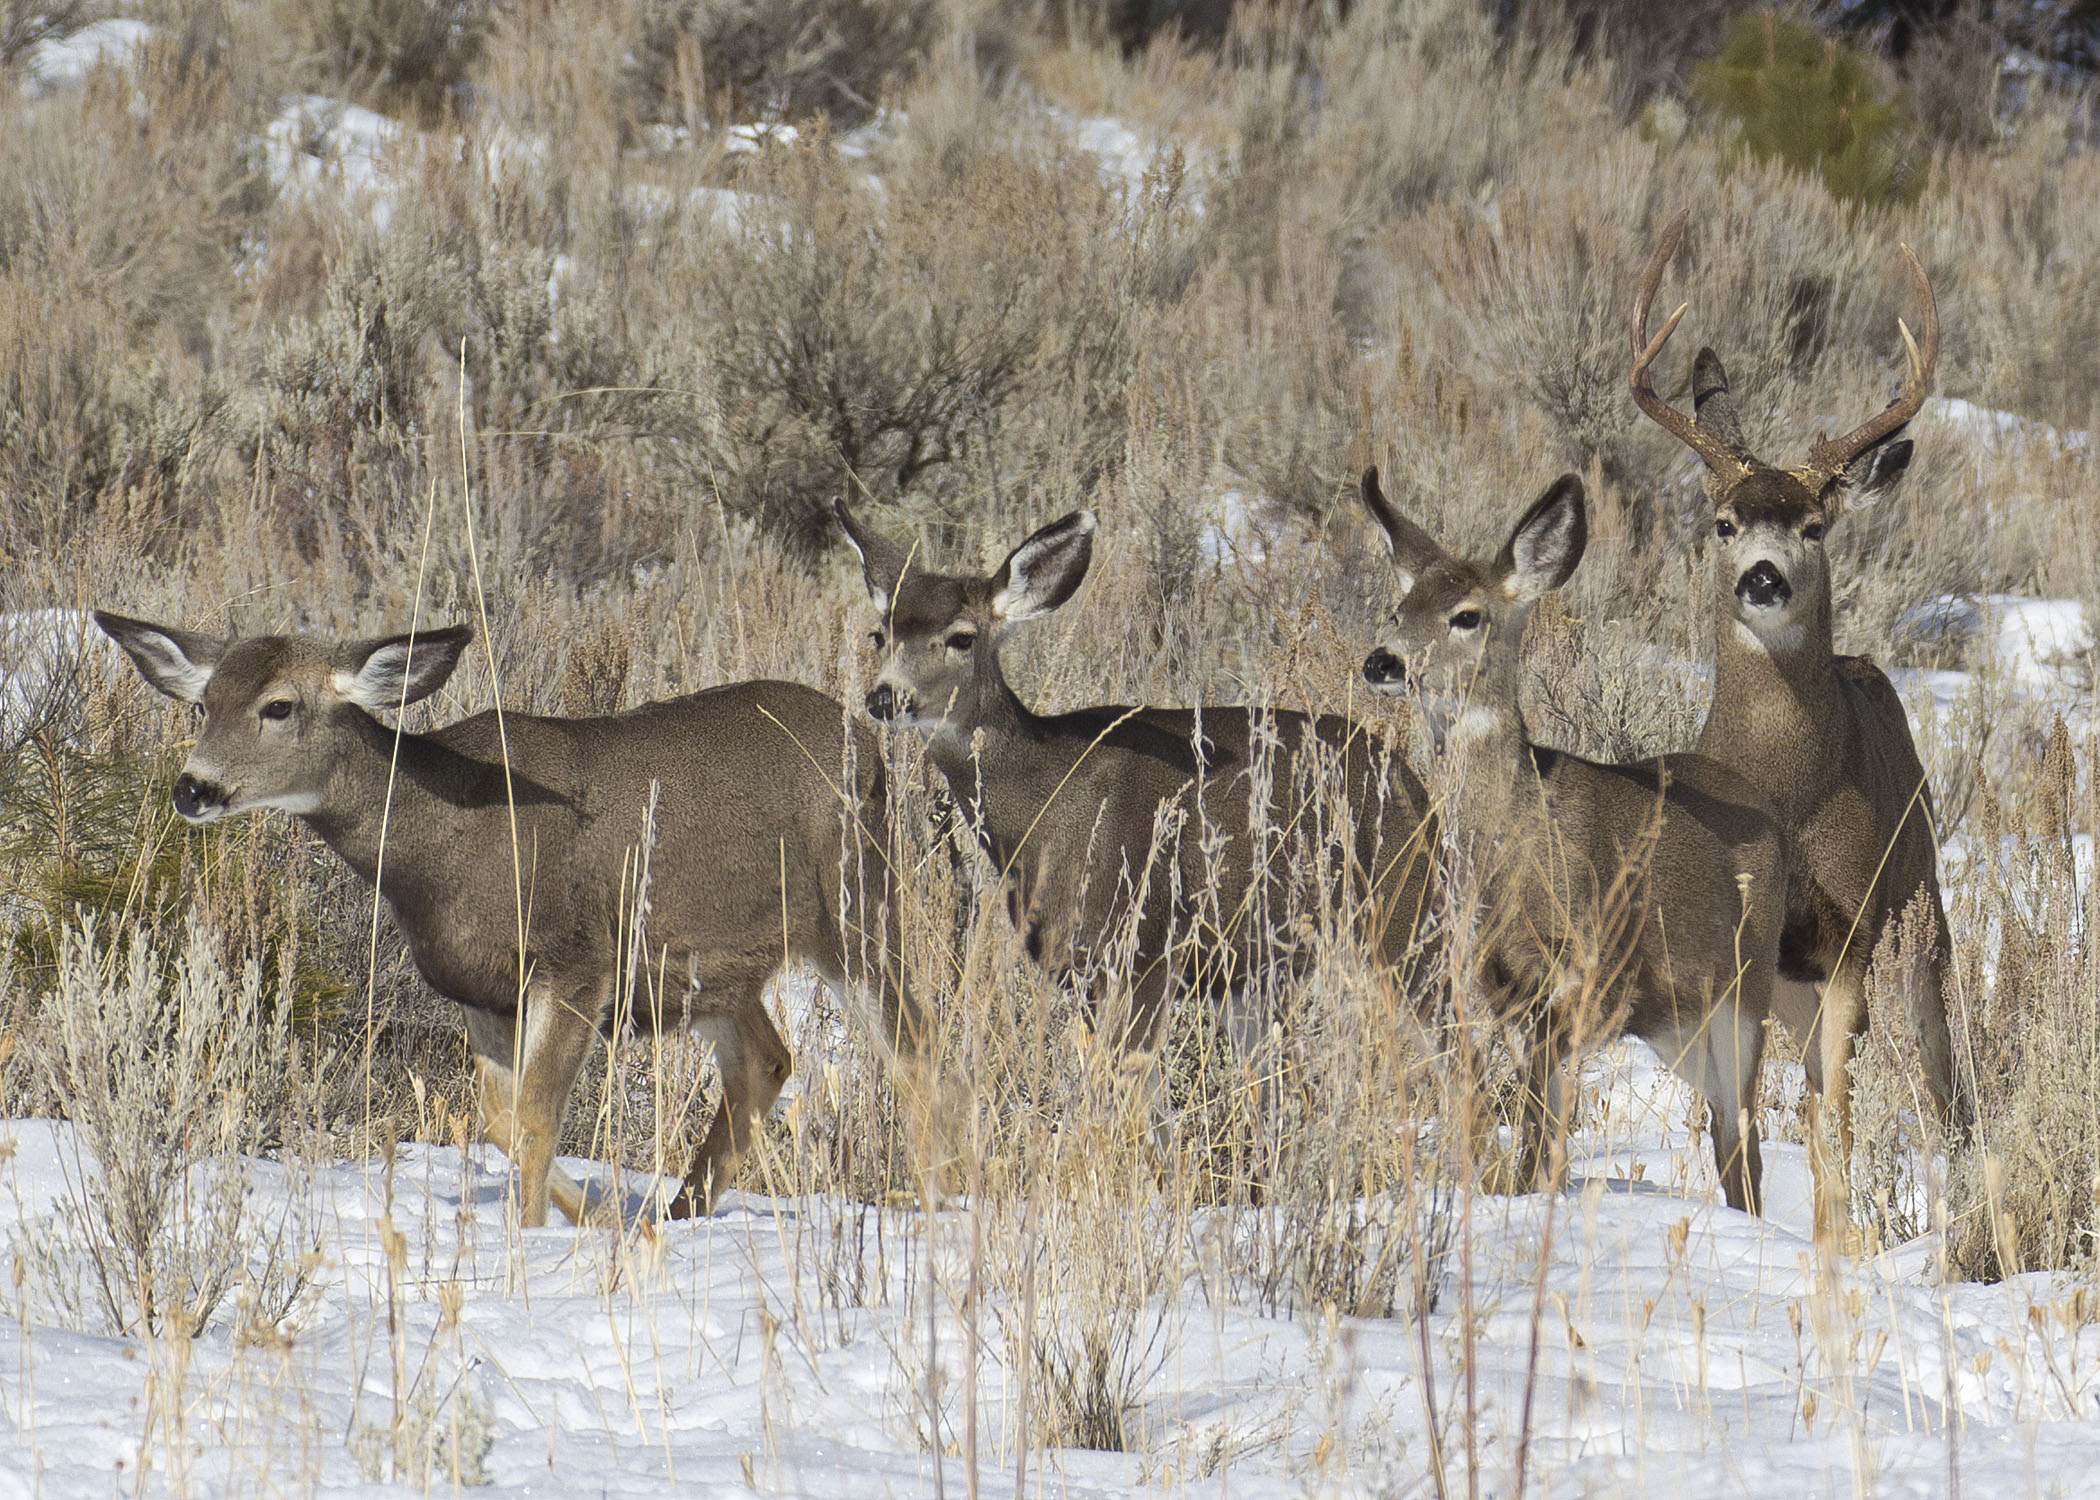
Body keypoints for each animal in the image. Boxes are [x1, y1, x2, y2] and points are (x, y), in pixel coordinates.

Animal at [94, 611, 922, 1228]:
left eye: (279, 705)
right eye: (203, 704)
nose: (194, 788)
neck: (448, 847)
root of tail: (867, 741)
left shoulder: (578, 965)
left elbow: (536, 1119)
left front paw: (535, 1242)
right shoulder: (482, 990)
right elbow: (501, 1120)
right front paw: (595, 1219)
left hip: (857, 904)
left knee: (915, 1047)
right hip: (709, 972)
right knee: (767, 1059)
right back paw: (676, 1212)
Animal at [831, 497, 1435, 1103]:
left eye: (961, 636)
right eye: (879, 635)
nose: (885, 696)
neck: (1041, 802)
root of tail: (1409, 778)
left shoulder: (1142, 946)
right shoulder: (1075, 966)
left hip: (1398, 911)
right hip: (1254, 972)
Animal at [1356, 469, 1785, 1214]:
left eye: (1467, 615)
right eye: (1399, 609)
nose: (1383, 662)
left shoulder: (1577, 974)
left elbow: (1539, 1124)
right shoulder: (1496, 987)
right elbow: (1533, 1128)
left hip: (1744, 990)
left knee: (1742, 1135)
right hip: (1677, 1025)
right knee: (1725, 1134)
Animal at [1628, 210, 1966, 1243]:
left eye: (1816, 526)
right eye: (1724, 523)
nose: (1765, 577)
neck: (1785, 791)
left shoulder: (1851, 932)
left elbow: (1837, 1124)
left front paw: (1831, 1249)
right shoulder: (1725, 951)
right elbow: (1733, 1131)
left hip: (1922, 921)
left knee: (1938, 1089)